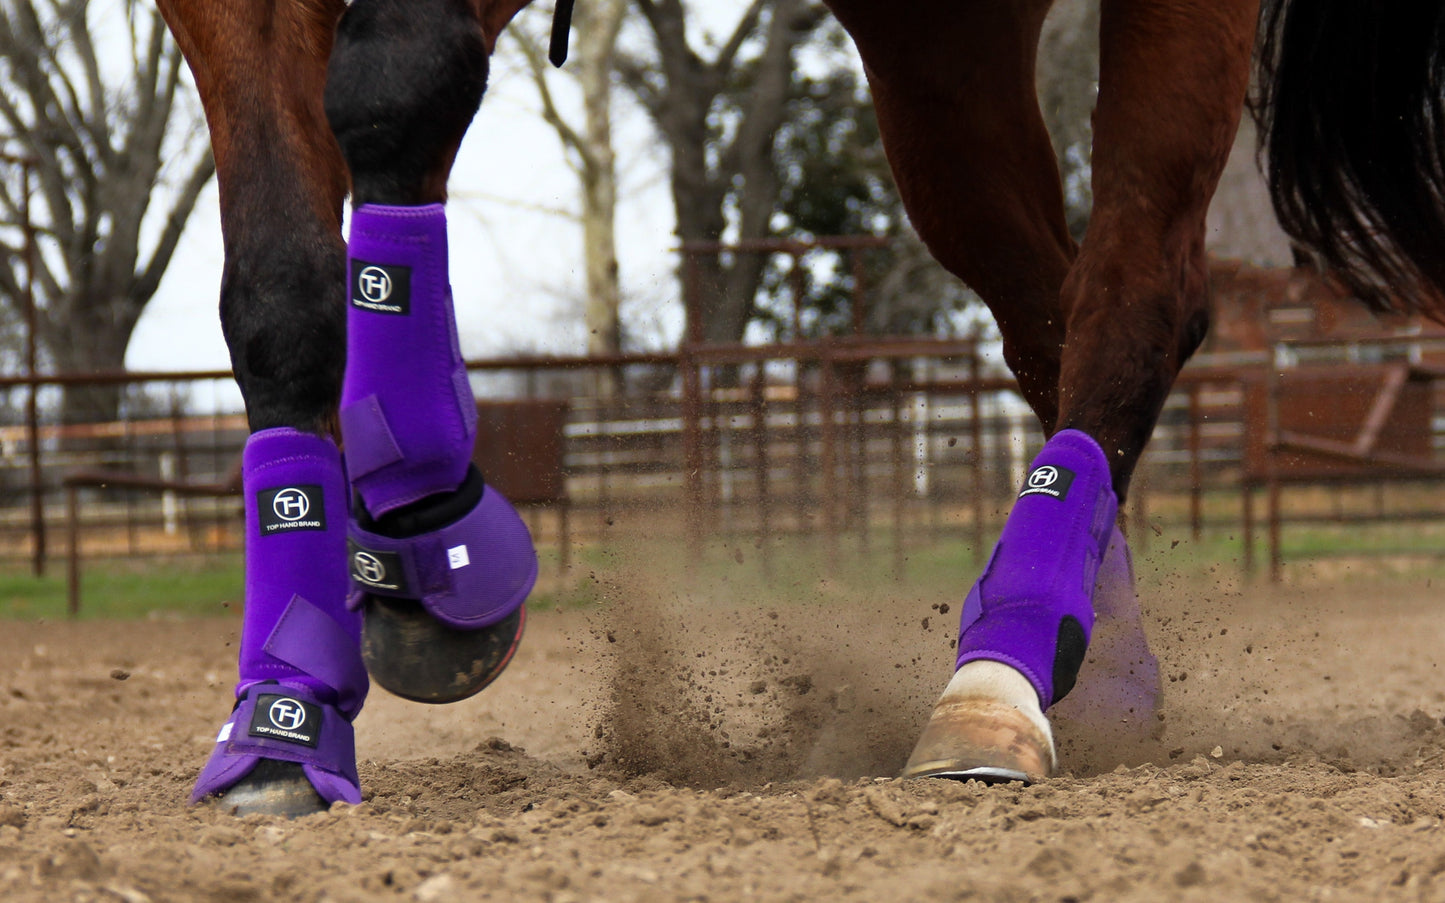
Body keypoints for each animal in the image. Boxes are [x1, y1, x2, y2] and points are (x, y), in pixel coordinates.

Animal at [146, 0, 1445, 814]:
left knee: (1133, 293)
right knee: (1046, 310)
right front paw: (285, 716)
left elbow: (397, 82)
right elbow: (281, 287)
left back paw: (1000, 674)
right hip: (941, 50)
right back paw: (1105, 669)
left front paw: (434, 529)